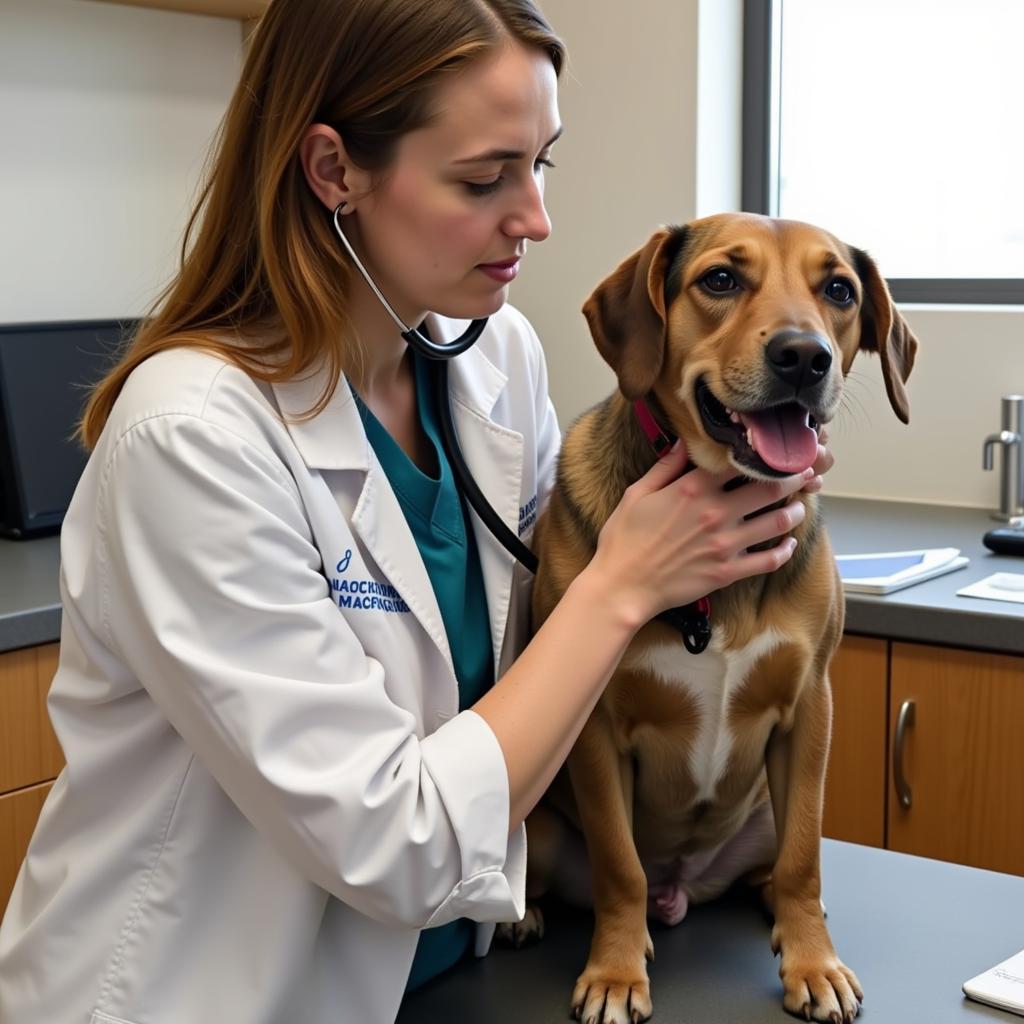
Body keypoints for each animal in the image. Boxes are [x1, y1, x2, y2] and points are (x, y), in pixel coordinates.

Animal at [507, 214, 917, 1024]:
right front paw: (614, 972)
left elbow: (804, 860)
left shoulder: (809, 707)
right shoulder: (595, 728)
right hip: (537, 823)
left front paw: (813, 961)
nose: (804, 357)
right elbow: (620, 867)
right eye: (721, 280)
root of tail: (685, 890)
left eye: (839, 291)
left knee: (783, 864)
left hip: (767, 811)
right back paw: (529, 915)